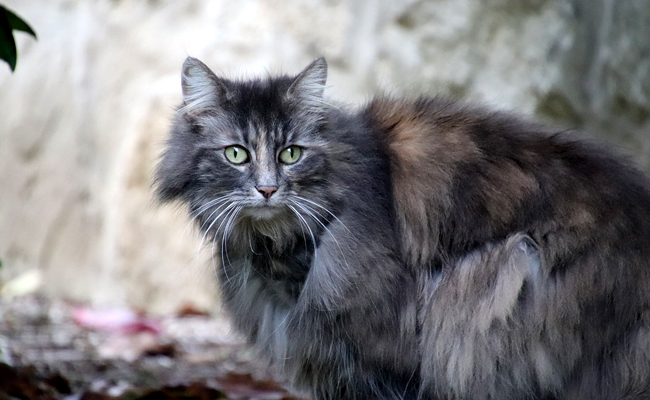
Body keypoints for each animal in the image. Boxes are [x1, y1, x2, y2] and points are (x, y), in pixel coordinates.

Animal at [154, 57, 648, 400]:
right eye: (236, 154)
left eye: (291, 153)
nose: (268, 189)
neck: (281, 255)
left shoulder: (387, 356)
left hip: (496, 280)